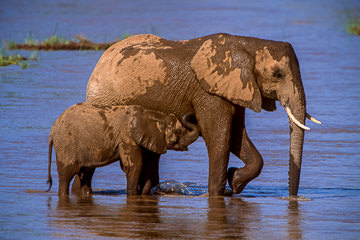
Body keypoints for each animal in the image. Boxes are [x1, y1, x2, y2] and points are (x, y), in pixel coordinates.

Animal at [46, 102, 198, 196]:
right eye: (179, 131)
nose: (191, 114)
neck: (153, 114)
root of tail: (53, 129)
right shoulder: (126, 137)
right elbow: (134, 166)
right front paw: (133, 195)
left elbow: (147, 167)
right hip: (66, 145)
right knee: (66, 176)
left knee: (86, 173)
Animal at [86, 32, 320, 196]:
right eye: (277, 75)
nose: (291, 198)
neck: (247, 44)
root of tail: (100, 60)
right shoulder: (207, 91)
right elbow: (218, 137)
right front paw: (218, 193)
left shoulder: (234, 89)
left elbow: (236, 137)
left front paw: (234, 181)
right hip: (105, 103)